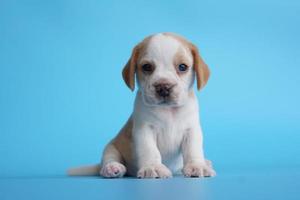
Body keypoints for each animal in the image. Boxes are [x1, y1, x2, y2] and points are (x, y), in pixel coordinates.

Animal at [68, 32, 216, 178]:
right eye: (147, 67)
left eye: (182, 67)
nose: (163, 87)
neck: (168, 111)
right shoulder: (144, 130)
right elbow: (150, 150)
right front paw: (153, 167)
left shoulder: (192, 130)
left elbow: (193, 150)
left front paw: (197, 166)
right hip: (111, 147)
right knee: (109, 160)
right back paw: (112, 168)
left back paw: (206, 162)